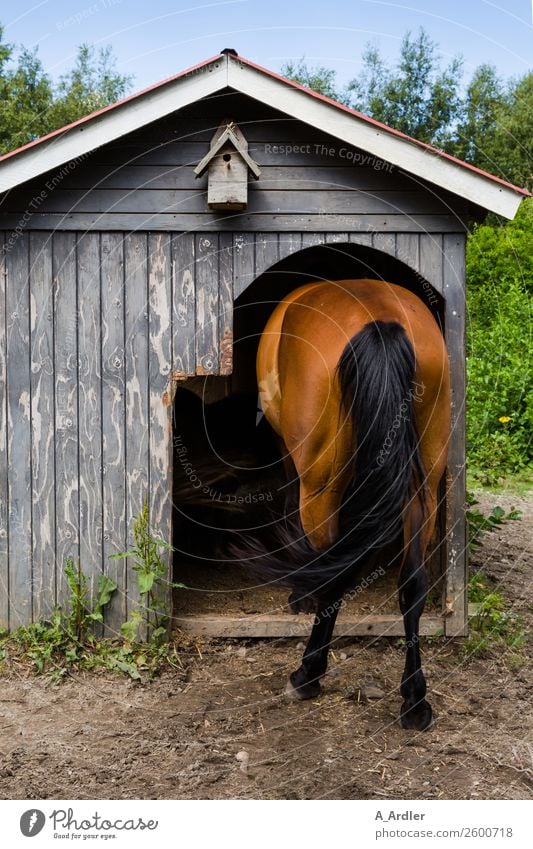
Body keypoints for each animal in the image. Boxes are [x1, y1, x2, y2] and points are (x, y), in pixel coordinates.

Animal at [241, 276, 448, 728]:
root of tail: (379, 322)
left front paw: (299, 596)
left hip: (321, 488)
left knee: (334, 577)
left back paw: (307, 675)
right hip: (422, 486)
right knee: (413, 583)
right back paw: (414, 700)